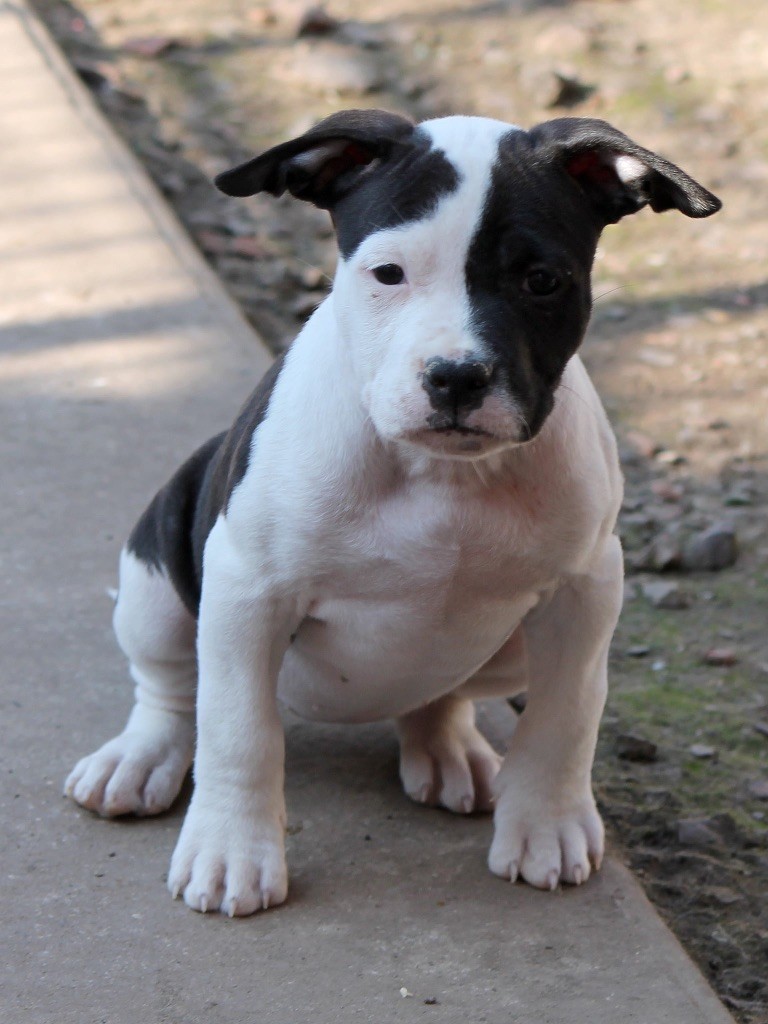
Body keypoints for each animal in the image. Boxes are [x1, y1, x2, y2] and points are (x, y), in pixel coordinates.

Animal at [65, 109, 720, 916]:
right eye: (387, 275)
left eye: (542, 281)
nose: (456, 376)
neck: (443, 473)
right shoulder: (248, 590)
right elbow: (237, 728)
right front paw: (230, 852)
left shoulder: (585, 591)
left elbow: (568, 717)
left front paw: (548, 826)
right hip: (159, 578)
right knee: (171, 687)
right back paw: (139, 758)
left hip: (506, 650)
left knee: (439, 696)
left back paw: (447, 749)